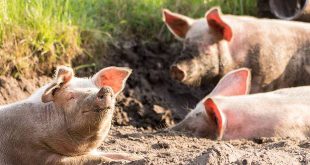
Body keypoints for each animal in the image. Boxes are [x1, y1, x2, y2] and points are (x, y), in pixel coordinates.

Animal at [0, 65, 138, 164]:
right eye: (71, 96)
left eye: (95, 89)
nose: (105, 89)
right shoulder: (32, 153)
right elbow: (87, 159)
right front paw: (117, 161)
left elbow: (109, 154)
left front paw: (133, 158)